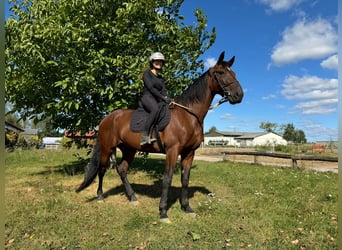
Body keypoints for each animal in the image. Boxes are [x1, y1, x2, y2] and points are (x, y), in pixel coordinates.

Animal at [77, 51, 243, 223]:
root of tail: (106, 119)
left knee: (122, 170)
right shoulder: (172, 151)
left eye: (234, 73)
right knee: (102, 169)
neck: (187, 116)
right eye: (221, 72)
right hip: (107, 148)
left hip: (129, 149)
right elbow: (167, 179)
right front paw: (163, 212)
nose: (239, 95)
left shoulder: (189, 153)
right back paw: (100, 196)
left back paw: (133, 198)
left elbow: (185, 179)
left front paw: (187, 208)